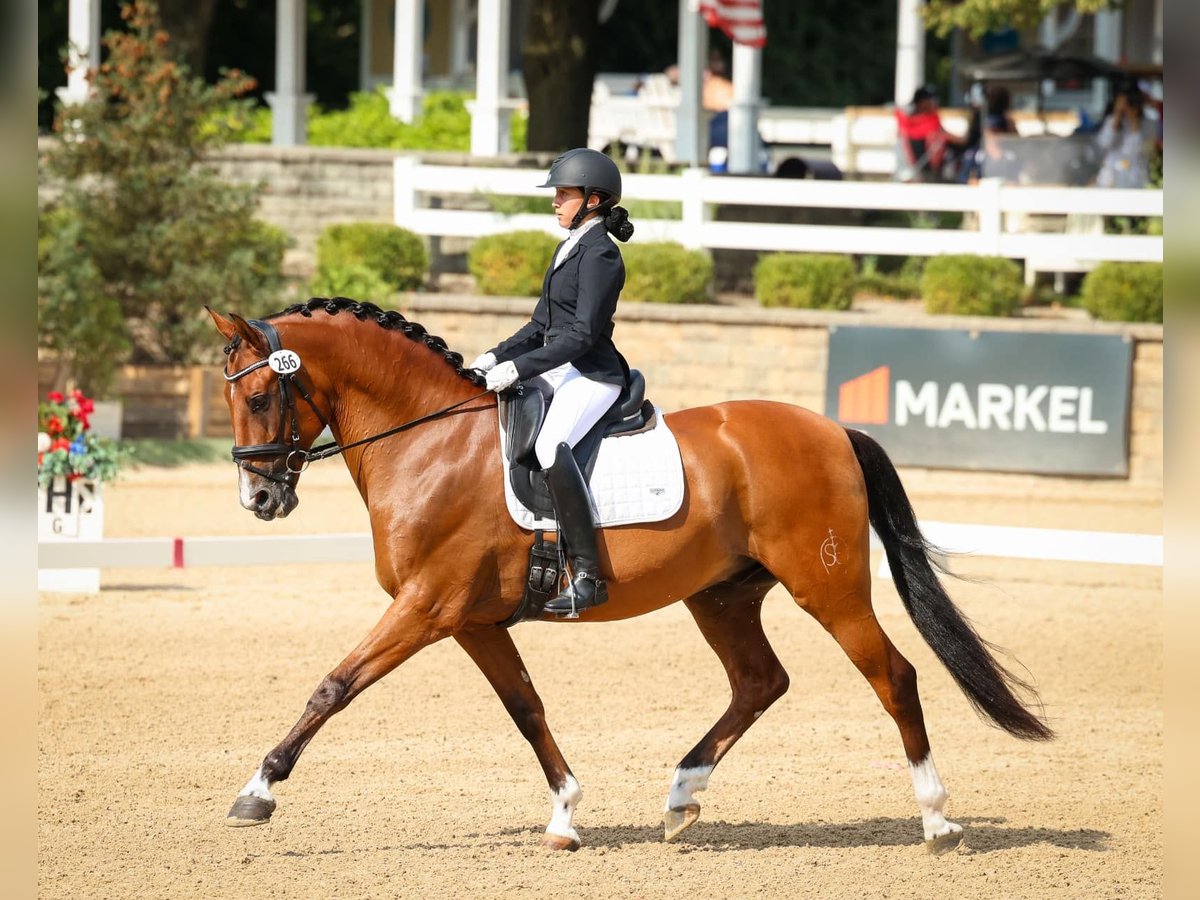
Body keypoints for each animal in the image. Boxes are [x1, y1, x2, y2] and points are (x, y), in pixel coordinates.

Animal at [208, 300, 1051, 854]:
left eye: (261, 394)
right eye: (230, 396)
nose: (259, 501)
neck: (429, 442)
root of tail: (832, 429)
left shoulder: (426, 608)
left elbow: (334, 686)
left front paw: (257, 791)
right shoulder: (471, 621)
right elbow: (527, 709)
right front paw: (564, 816)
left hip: (829, 588)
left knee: (893, 676)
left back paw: (937, 819)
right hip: (722, 594)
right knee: (760, 682)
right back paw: (681, 798)